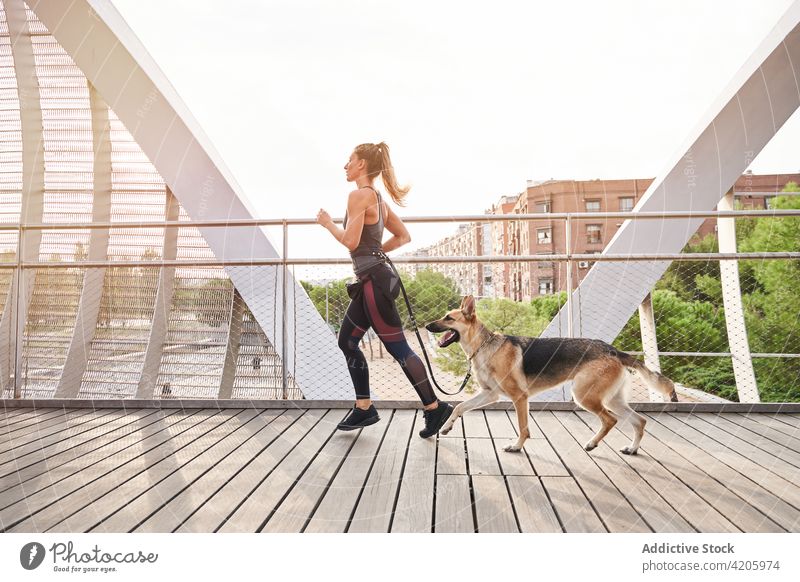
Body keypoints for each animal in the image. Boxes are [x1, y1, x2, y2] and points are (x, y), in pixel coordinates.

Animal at [424, 296, 676, 456]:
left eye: (448, 318)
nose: (426, 326)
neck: (485, 345)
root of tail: (613, 350)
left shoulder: (519, 398)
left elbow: (523, 428)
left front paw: (516, 447)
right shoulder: (489, 394)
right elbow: (459, 407)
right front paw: (446, 427)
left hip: (584, 396)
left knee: (611, 420)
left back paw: (592, 444)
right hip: (612, 399)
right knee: (639, 421)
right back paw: (632, 448)